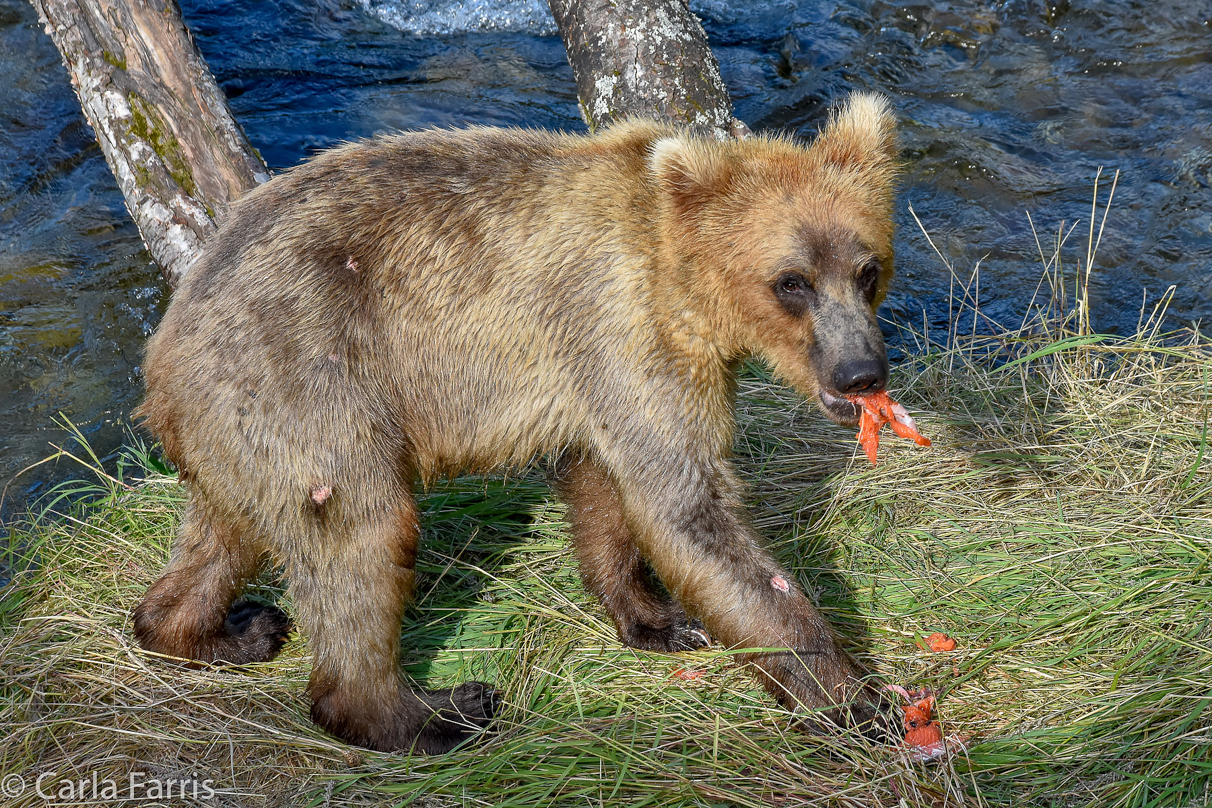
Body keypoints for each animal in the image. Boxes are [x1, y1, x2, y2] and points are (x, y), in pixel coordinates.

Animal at [135, 93, 901, 751]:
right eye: (792, 281)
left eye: (867, 268)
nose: (861, 373)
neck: (686, 289)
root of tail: (164, 349)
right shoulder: (624, 326)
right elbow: (690, 511)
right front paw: (859, 701)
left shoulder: (593, 373)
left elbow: (602, 487)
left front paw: (659, 621)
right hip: (310, 377)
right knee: (362, 531)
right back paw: (435, 713)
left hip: (238, 432)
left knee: (223, 536)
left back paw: (224, 629)